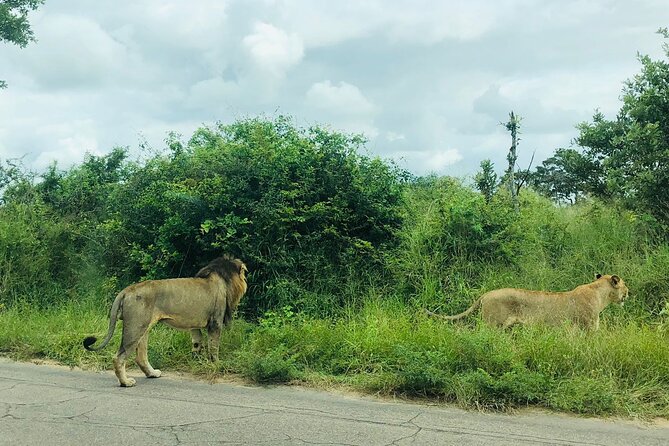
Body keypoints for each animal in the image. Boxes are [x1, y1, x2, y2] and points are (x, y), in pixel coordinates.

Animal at [83, 256, 248, 386]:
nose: (246, 281)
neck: (220, 278)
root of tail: (126, 290)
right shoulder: (215, 322)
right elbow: (214, 347)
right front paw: (216, 364)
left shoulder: (194, 325)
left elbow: (196, 343)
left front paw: (196, 361)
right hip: (135, 327)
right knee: (119, 357)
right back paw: (126, 382)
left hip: (144, 327)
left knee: (140, 356)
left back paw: (152, 374)